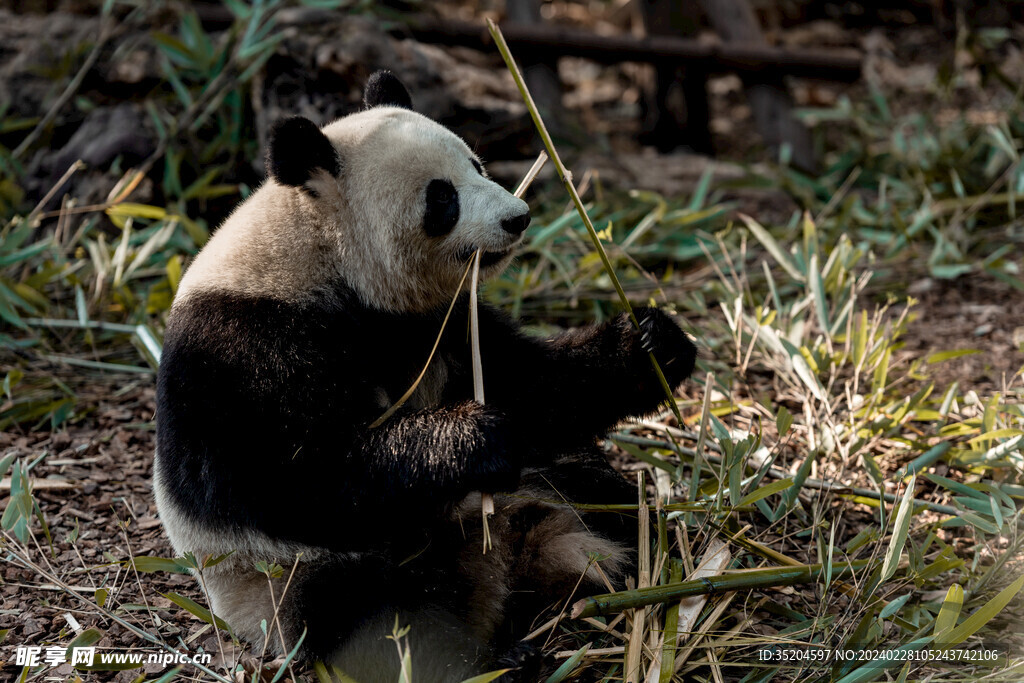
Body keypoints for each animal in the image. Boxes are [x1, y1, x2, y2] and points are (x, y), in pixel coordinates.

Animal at [153, 72, 696, 679]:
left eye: (478, 164)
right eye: (443, 197)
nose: (518, 216)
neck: (319, 251)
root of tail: (506, 558)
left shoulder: (437, 321)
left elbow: (530, 382)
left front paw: (650, 347)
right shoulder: (242, 348)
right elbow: (301, 476)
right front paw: (477, 438)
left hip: (546, 487)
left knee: (598, 489)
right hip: (283, 577)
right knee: (370, 612)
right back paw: (492, 659)